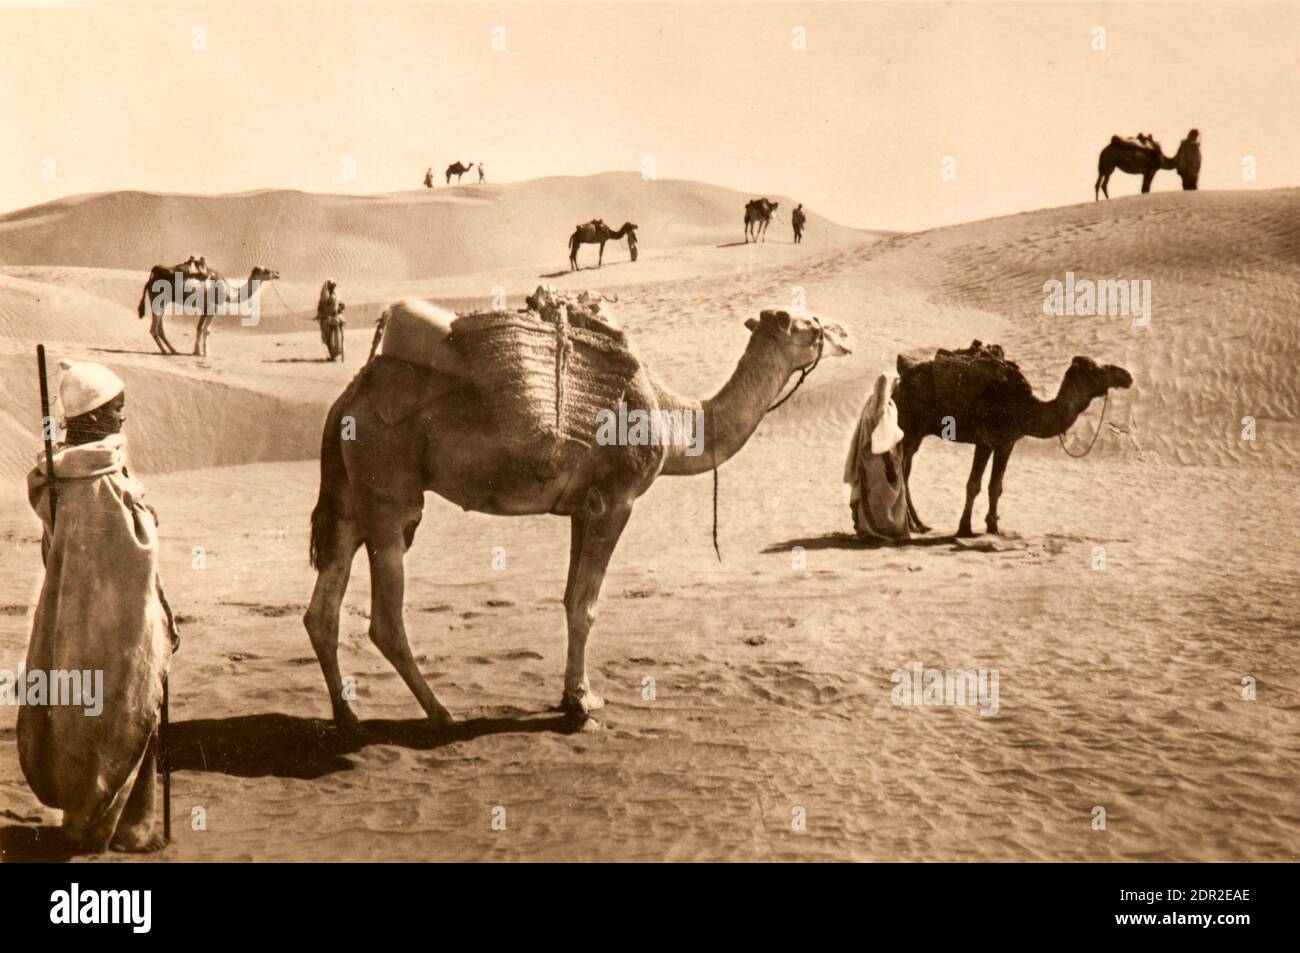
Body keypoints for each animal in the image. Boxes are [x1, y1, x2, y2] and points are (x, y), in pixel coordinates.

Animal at [302, 304, 852, 728]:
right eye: (811, 324)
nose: (847, 334)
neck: (673, 420)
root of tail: (346, 398)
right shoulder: (616, 501)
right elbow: (586, 605)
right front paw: (583, 706)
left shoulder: (581, 508)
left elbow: (571, 599)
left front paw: (573, 696)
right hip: (389, 493)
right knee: (385, 617)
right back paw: (440, 713)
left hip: (350, 498)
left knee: (323, 607)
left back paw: (347, 717)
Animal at [894, 348, 1128, 538]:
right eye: (1097, 370)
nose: (1127, 376)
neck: (1025, 409)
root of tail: (900, 381)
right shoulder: (986, 439)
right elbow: (974, 485)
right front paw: (964, 528)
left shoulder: (1006, 442)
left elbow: (996, 486)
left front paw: (994, 527)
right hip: (906, 428)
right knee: (901, 469)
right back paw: (912, 525)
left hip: (916, 434)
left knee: (905, 470)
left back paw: (919, 525)